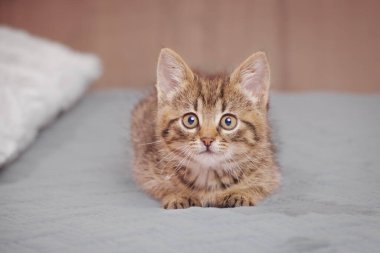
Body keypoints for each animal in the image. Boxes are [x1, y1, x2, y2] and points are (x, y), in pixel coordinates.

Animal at [132, 48, 280, 209]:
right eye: (190, 120)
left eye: (228, 121)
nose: (207, 140)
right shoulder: (145, 167)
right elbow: (160, 185)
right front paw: (178, 195)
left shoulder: (269, 171)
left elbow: (259, 185)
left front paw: (240, 193)